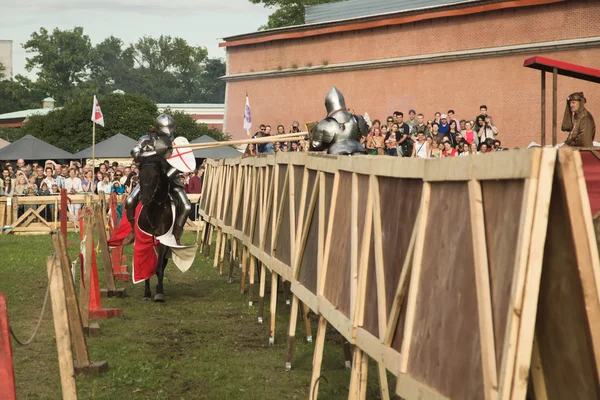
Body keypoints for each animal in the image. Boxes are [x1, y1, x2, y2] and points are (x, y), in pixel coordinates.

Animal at [139, 159, 177, 304]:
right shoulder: (143, 240)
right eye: (139, 175)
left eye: (156, 176)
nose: (145, 199)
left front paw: (159, 293)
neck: (153, 211)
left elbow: (160, 267)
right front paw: (146, 293)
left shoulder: (164, 239)